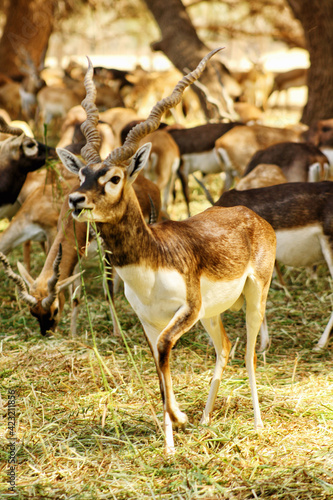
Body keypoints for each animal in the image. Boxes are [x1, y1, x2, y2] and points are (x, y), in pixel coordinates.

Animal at [56, 49, 274, 454]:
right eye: (83, 175)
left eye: (114, 177)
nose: (76, 200)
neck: (151, 261)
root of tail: (250, 215)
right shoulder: (149, 320)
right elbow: (158, 365)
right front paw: (172, 441)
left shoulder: (185, 311)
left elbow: (163, 351)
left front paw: (180, 417)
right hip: (211, 314)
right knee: (224, 349)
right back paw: (205, 420)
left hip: (254, 298)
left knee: (250, 353)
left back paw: (256, 424)